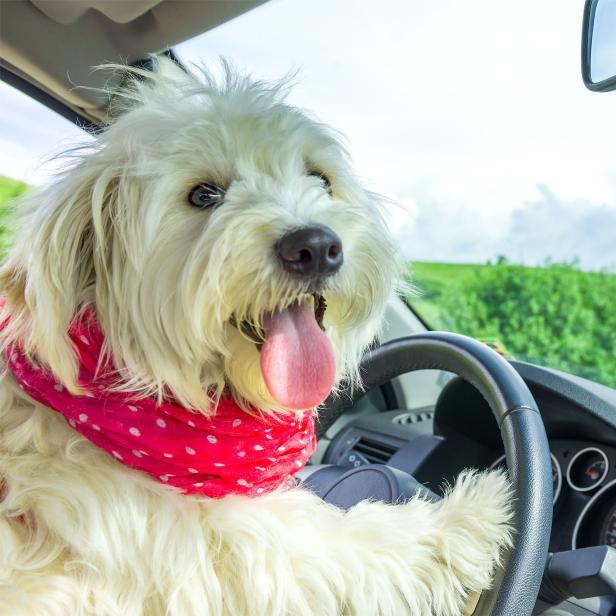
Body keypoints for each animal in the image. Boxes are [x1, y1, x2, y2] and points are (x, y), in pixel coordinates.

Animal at [0, 59, 510, 616]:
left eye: (319, 178)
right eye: (203, 194)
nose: (315, 246)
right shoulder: (233, 555)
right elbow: (358, 546)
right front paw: (470, 514)